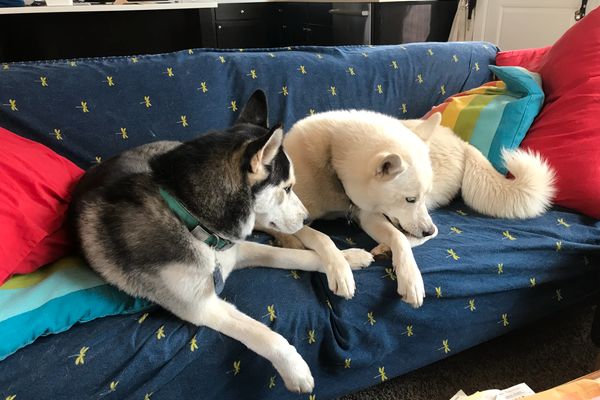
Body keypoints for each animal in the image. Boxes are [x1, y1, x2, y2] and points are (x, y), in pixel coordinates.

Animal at [69, 91, 374, 393]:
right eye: (287, 188)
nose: (307, 217)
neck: (189, 216)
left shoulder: (236, 249)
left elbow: (296, 257)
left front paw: (343, 262)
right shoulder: (200, 306)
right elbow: (261, 332)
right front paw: (295, 369)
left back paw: (337, 255)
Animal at [260, 109, 555, 308]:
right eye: (410, 199)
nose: (427, 230)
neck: (332, 158)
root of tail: (463, 143)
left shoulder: (368, 213)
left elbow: (399, 238)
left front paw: (410, 278)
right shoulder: (297, 216)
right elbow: (320, 236)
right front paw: (340, 268)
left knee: (417, 234)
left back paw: (388, 248)